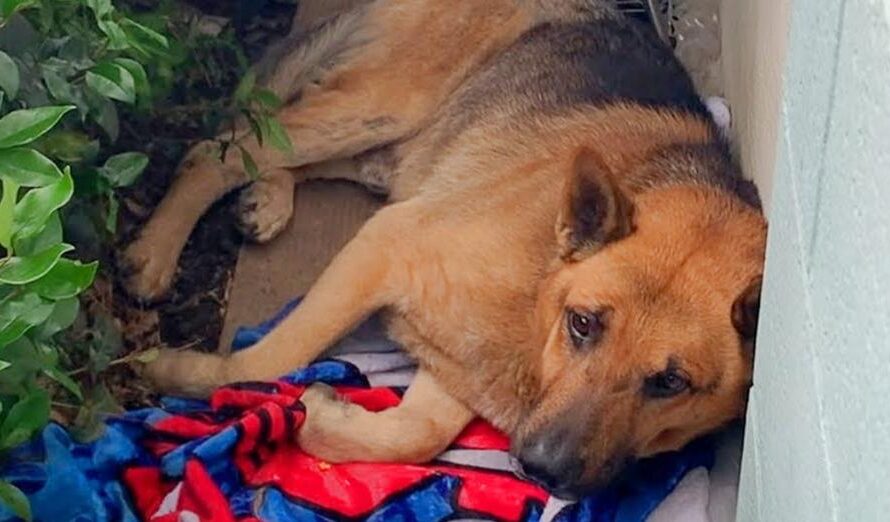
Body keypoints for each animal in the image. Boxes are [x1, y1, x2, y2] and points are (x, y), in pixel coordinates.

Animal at [123, 0, 764, 496]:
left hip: (403, 144)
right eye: (583, 324)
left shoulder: (458, 368)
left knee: (280, 148)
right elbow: (271, 358)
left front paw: (318, 417)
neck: (538, 297)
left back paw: (269, 198)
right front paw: (187, 373)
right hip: (380, 107)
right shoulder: (383, 247)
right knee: (225, 148)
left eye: (671, 384)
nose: (541, 471)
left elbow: (413, 436)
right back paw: (154, 254)